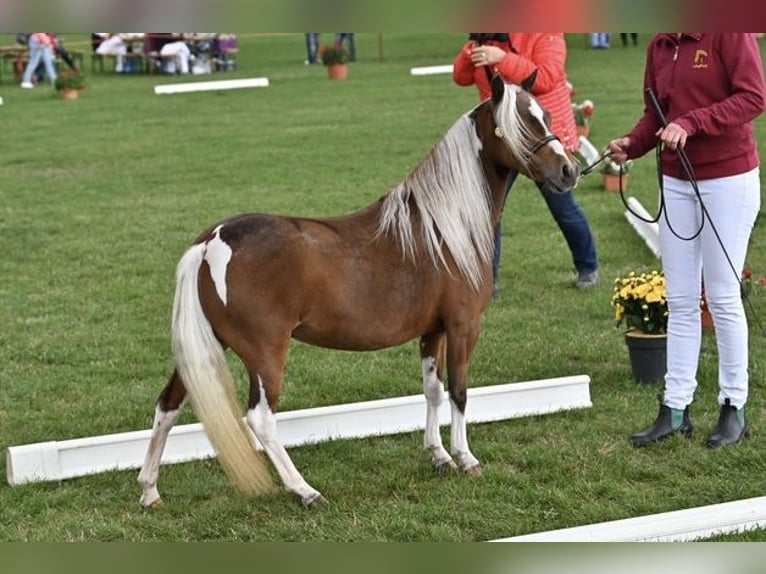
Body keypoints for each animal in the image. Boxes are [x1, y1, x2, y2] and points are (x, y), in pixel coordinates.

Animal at [140, 73, 584, 508]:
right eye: (522, 121)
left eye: (545, 113)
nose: (568, 170)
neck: (442, 227)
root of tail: (211, 241)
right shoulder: (463, 325)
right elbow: (459, 392)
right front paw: (466, 458)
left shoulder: (433, 331)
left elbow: (433, 390)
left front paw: (438, 455)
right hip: (265, 353)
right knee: (260, 419)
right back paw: (305, 491)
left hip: (206, 346)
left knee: (168, 406)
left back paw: (149, 490)